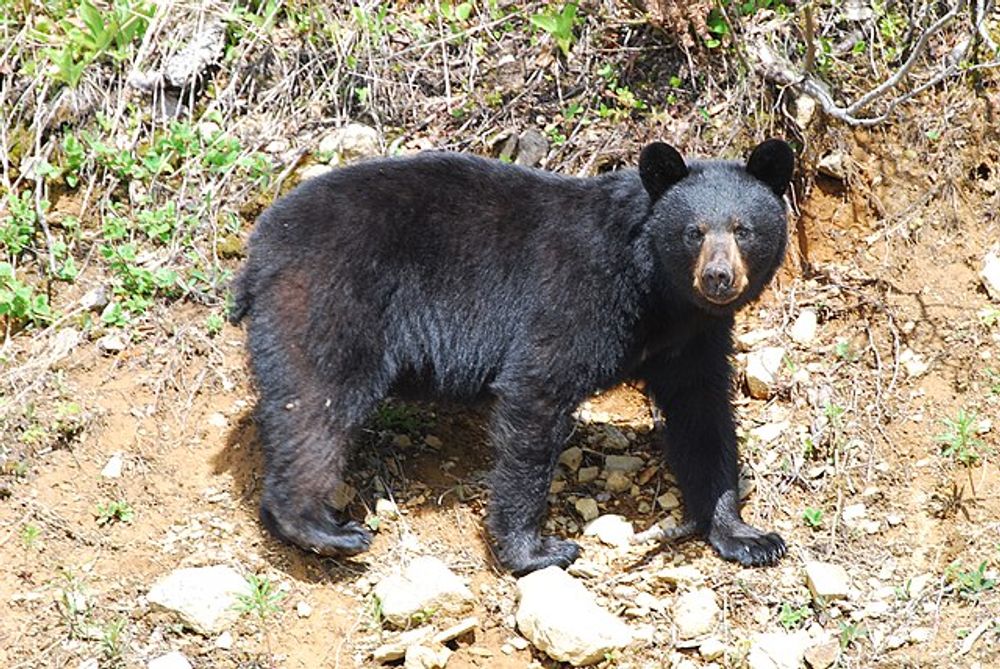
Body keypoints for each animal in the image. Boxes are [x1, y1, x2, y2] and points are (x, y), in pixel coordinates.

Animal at [230, 140, 792, 576]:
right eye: (693, 231)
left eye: (743, 229)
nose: (717, 277)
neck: (658, 293)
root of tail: (260, 247)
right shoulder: (578, 295)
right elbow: (536, 392)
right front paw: (536, 551)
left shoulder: (693, 339)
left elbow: (703, 416)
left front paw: (746, 535)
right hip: (330, 297)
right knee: (317, 404)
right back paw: (322, 528)